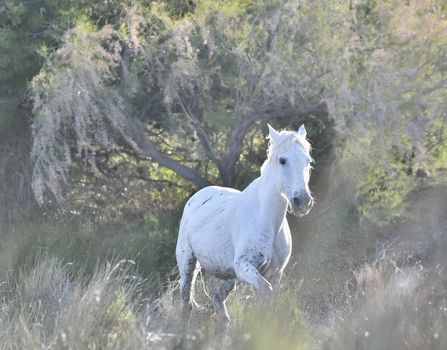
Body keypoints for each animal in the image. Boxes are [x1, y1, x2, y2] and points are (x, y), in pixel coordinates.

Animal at [176, 123, 316, 322]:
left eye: (308, 161)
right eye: (282, 160)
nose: (303, 202)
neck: (266, 221)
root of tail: (196, 197)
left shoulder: (275, 273)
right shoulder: (245, 267)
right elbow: (265, 292)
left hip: (230, 276)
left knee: (217, 299)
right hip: (188, 264)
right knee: (186, 303)